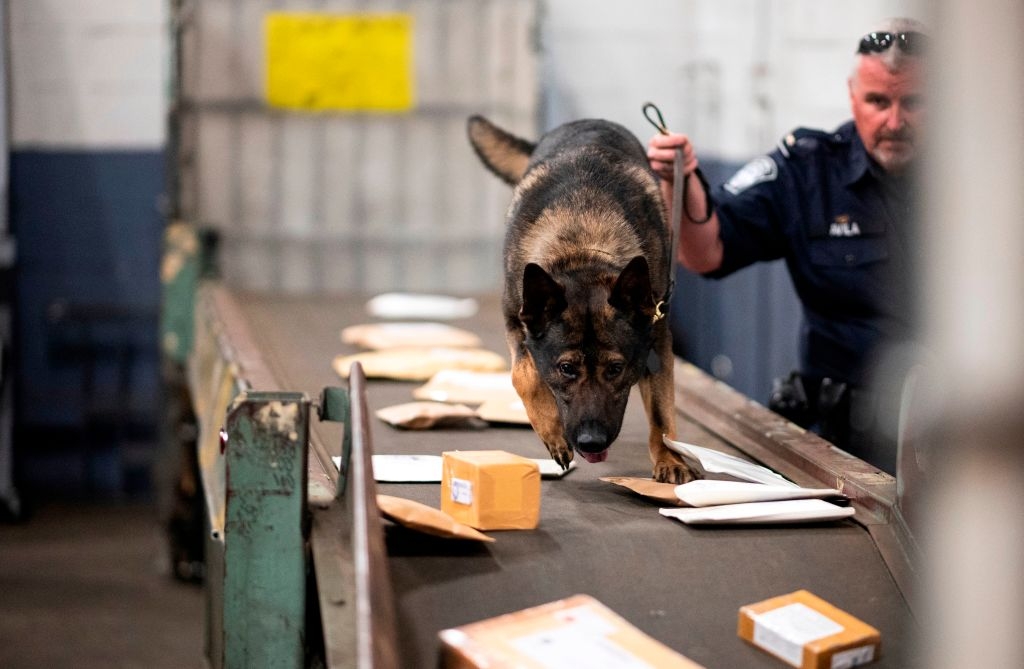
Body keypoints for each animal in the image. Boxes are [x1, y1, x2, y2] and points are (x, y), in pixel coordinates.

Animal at [468, 114, 692, 479]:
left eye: (615, 369)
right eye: (566, 368)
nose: (591, 442)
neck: (581, 248)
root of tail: (590, 120)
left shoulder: (657, 338)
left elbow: (661, 413)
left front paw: (670, 459)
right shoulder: (515, 322)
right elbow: (524, 376)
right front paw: (554, 434)